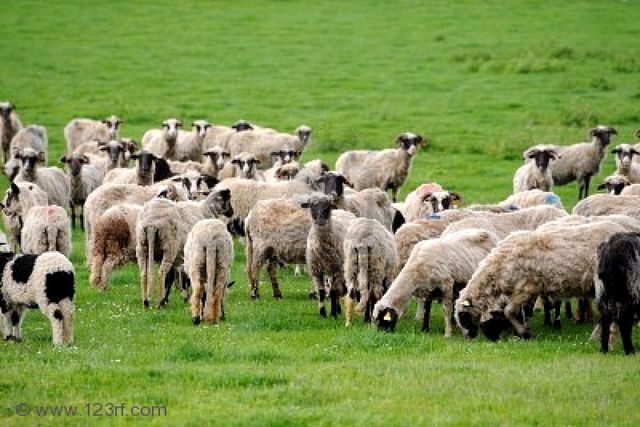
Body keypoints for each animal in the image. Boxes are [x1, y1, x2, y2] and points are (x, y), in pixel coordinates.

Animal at [454, 221, 627, 341]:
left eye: (463, 316)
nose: (469, 337)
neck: (499, 267)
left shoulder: (525, 288)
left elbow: (509, 311)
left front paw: (524, 333)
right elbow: (521, 312)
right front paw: (523, 330)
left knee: (609, 310)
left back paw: (595, 337)